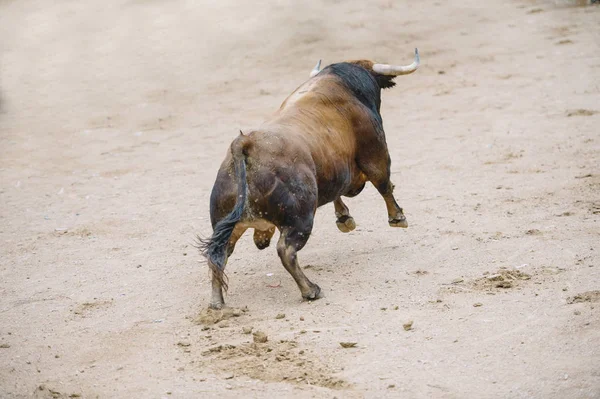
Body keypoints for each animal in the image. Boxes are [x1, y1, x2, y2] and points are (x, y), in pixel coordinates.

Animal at [199, 47, 420, 310]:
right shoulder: (375, 152)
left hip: (225, 224)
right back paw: (310, 290)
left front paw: (344, 218)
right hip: (300, 218)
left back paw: (217, 303)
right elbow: (383, 183)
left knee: (218, 255)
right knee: (286, 250)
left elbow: (337, 190)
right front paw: (398, 218)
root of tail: (246, 144)